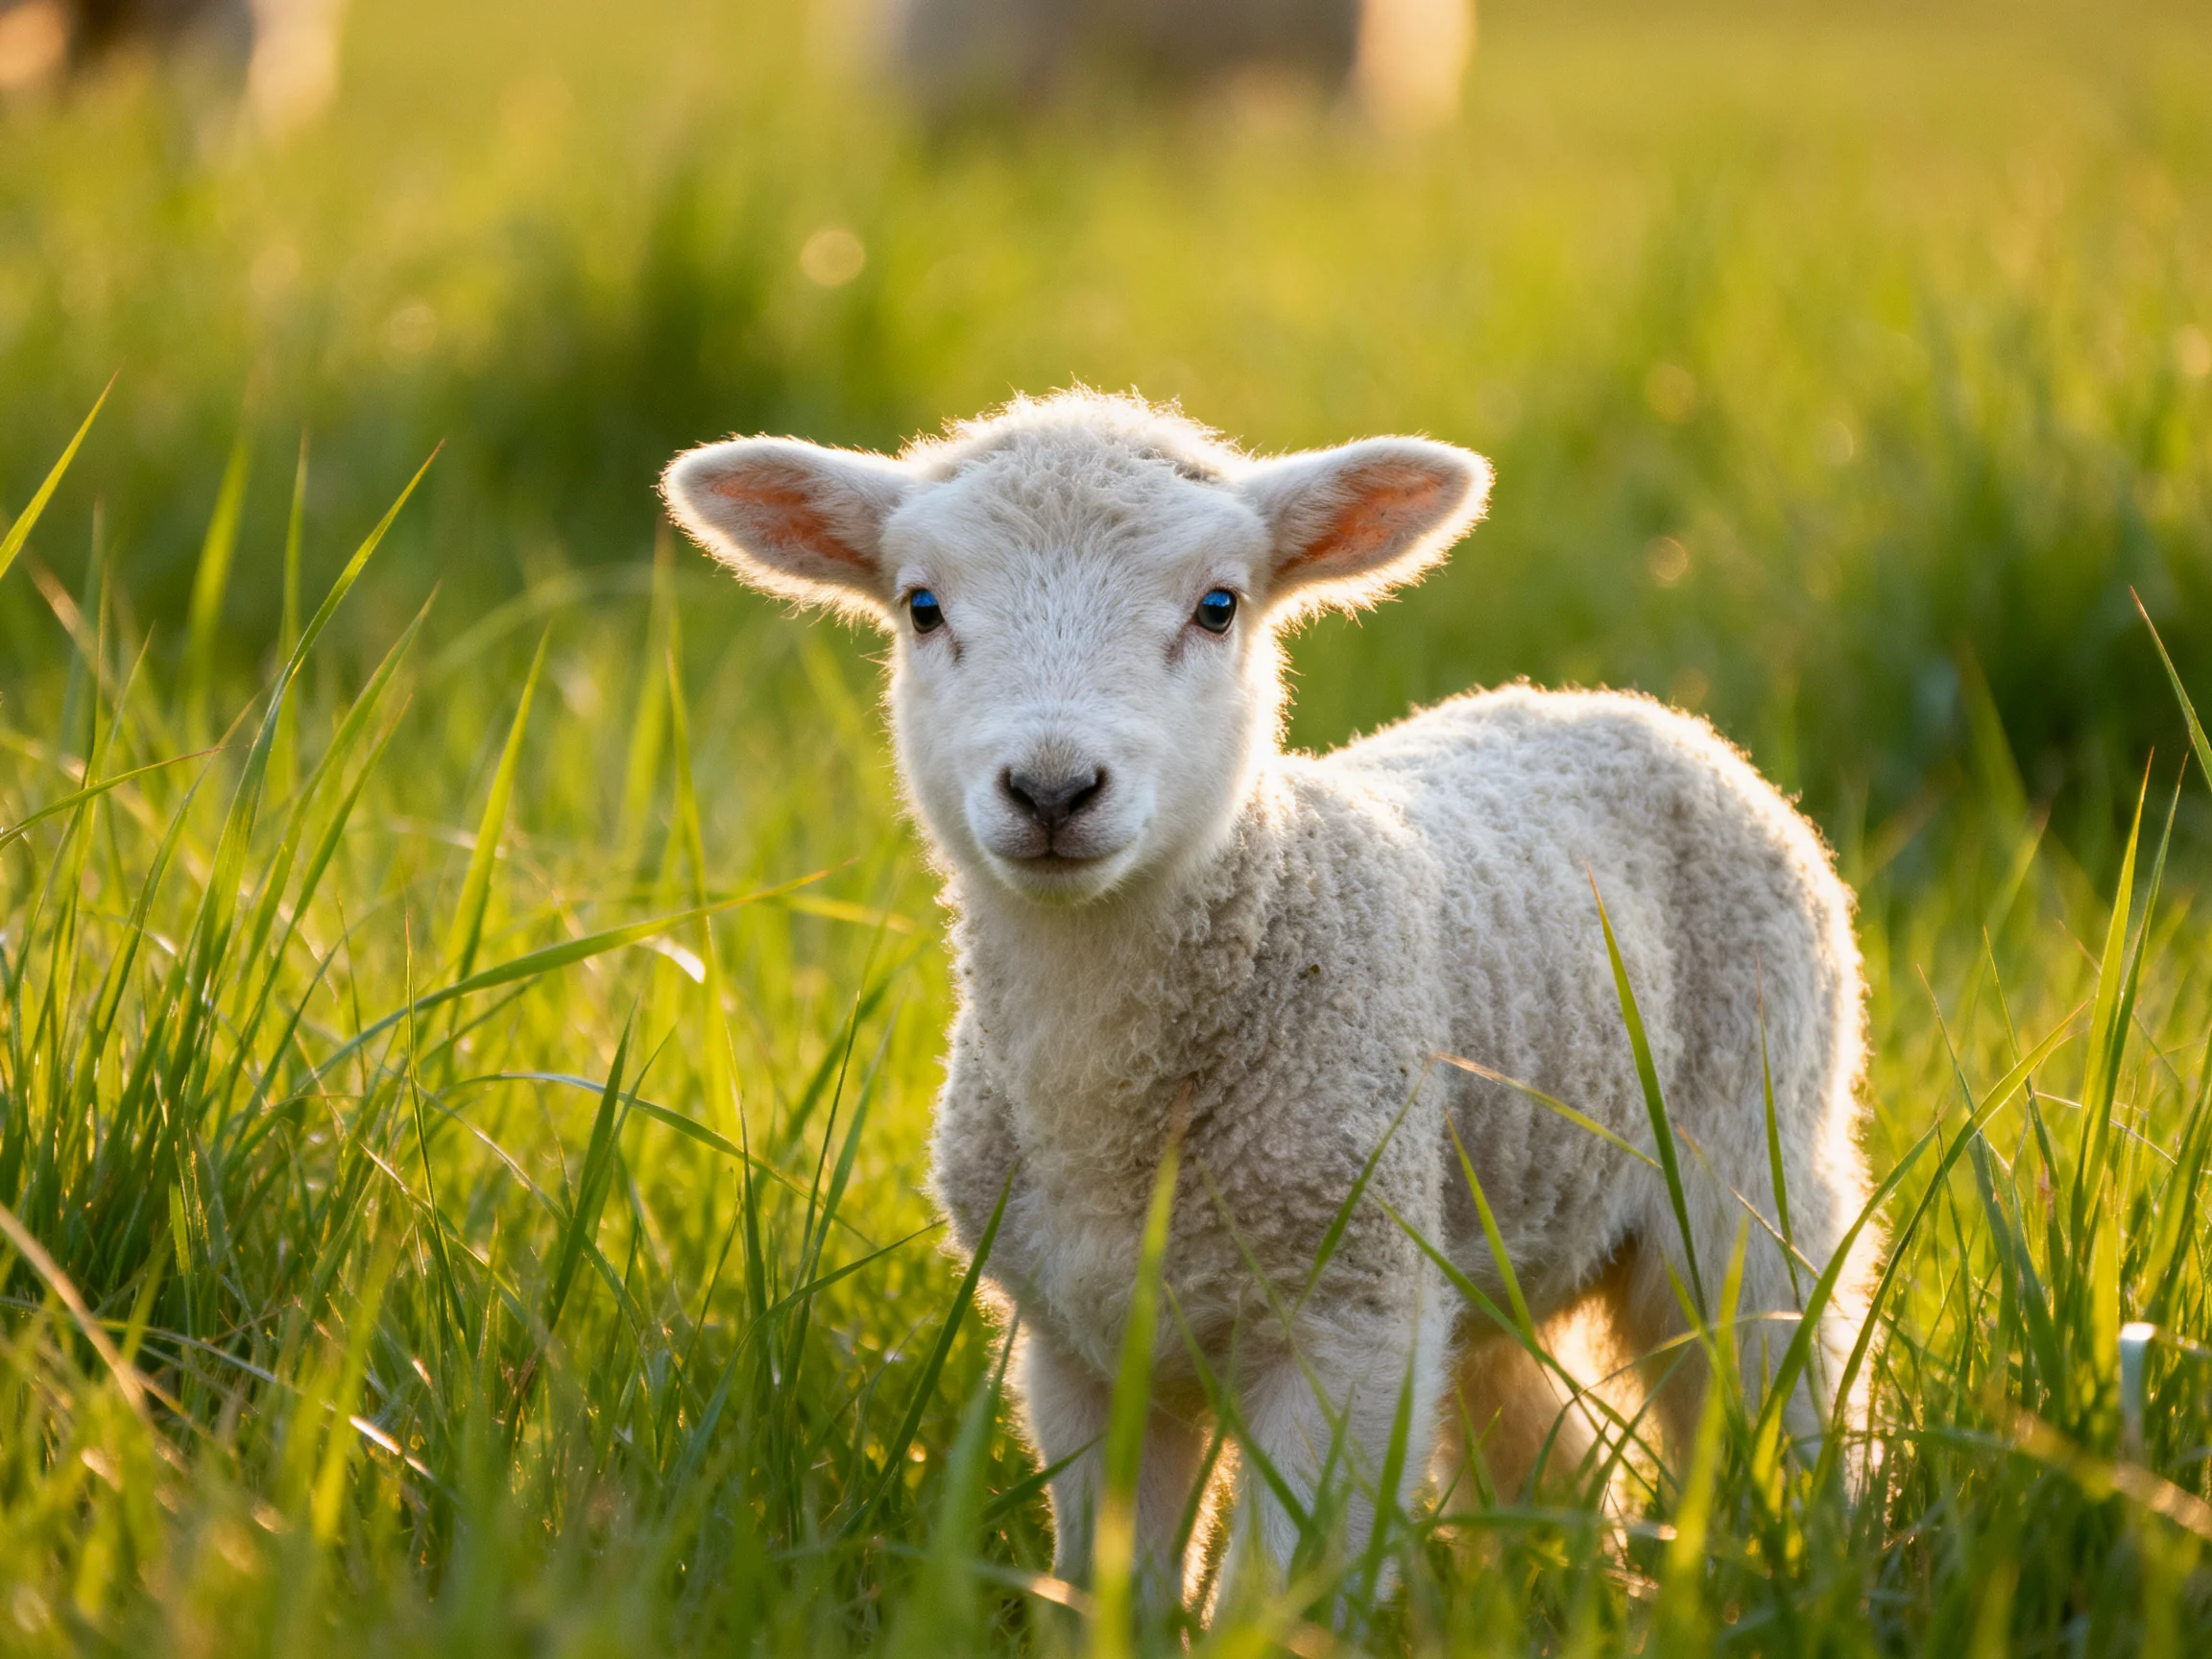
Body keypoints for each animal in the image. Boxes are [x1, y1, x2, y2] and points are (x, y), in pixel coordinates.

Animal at [660, 389, 1879, 1616]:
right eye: (922, 607)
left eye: (1217, 606)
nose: (1053, 790)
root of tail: (1617, 709)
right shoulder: (1078, 1343)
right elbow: (1117, 1576)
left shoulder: (1350, 1318)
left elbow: (1280, 1590)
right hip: (1484, 1230)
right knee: (1545, 1443)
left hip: (1757, 1159)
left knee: (1788, 1385)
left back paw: (1817, 1565)